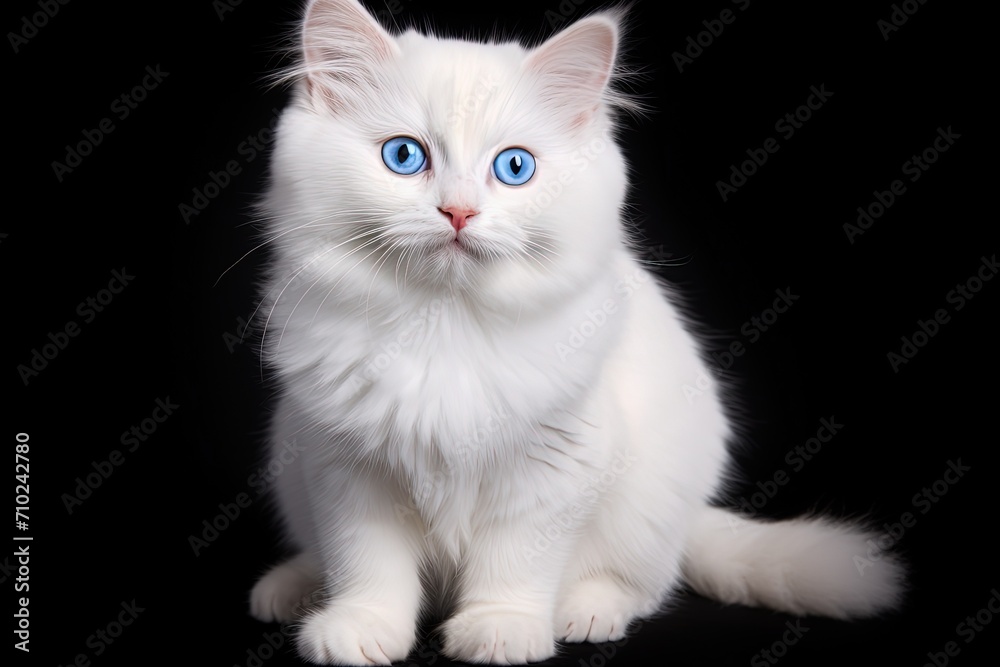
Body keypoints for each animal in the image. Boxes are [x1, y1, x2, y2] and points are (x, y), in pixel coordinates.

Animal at [248, 2, 908, 664]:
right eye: (404, 157)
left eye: (514, 167)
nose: (459, 212)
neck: (446, 323)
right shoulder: (346, 468)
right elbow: (368, 565)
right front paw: (360, 629)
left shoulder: (554, 464)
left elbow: (513, 565)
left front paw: (501, 630)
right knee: (321, 557)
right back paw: (291, 589)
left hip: (653, 500)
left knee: (642, 584)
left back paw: (586, 612)